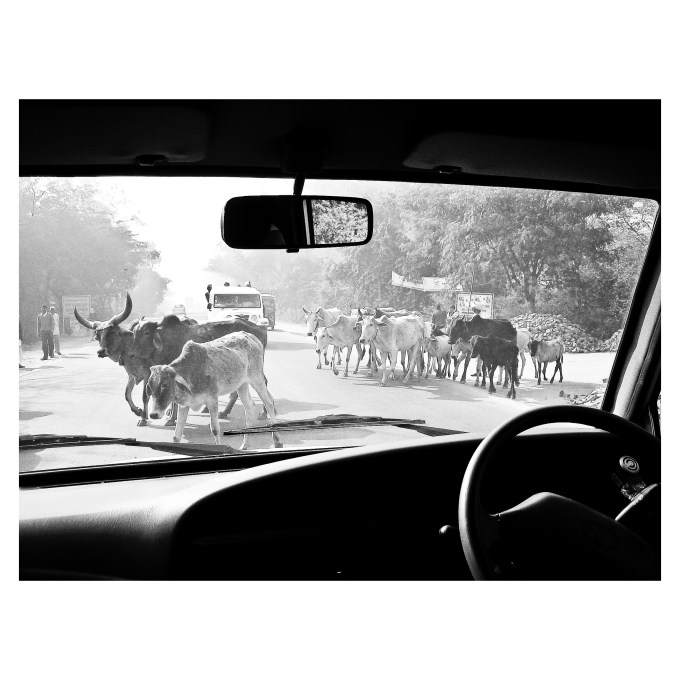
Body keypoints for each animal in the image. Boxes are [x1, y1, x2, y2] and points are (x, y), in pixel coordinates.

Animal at [146, 332, 282, 450]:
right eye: (150, 386)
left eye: (165, 384)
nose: (153, 414)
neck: (191, 372)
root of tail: (252, 337)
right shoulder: (184, 406)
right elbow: (176, 435)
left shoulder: (212, 399)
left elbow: (215, 430)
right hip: (242, 385)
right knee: (250, 407)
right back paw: (244, 445)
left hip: (256, 378)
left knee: (268, 403)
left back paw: (278, 441)